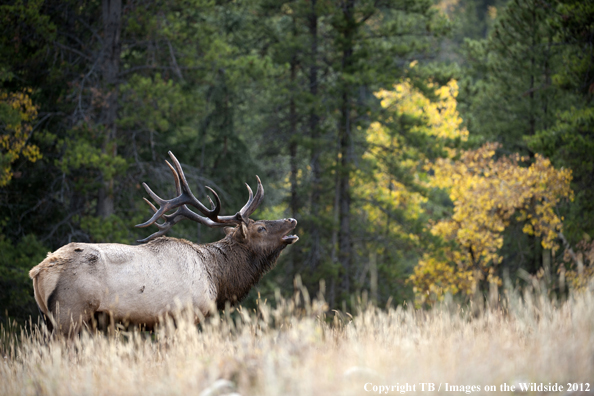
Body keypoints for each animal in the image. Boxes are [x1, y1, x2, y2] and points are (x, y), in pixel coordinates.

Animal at [28, 151, 298, 334]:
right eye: (261, 228)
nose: (292, 220)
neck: (217, 278)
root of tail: (38, 271)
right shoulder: (183, 316)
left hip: (51, 319)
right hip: (70, 314)